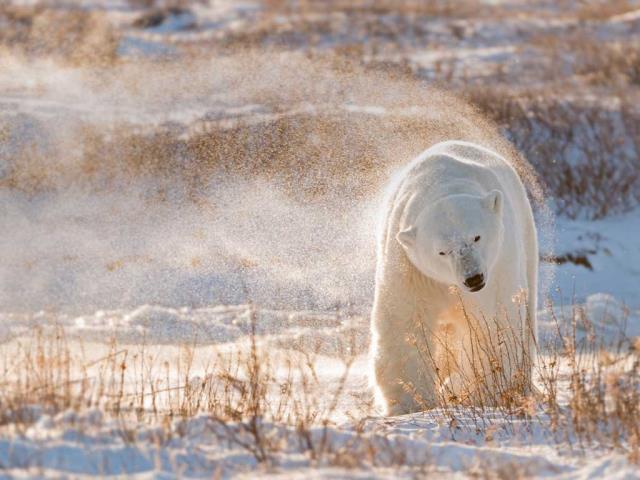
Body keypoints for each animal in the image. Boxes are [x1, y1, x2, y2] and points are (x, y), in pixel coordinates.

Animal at [370, 140, 538, 415]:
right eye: (441, 251)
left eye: (476, 236)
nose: (473, 278)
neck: (442, 185)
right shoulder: (412, 268)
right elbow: (406, 323)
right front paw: (411, 402)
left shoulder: (498, 265)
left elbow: (492, 324)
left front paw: (474, 391)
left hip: (526, 238)